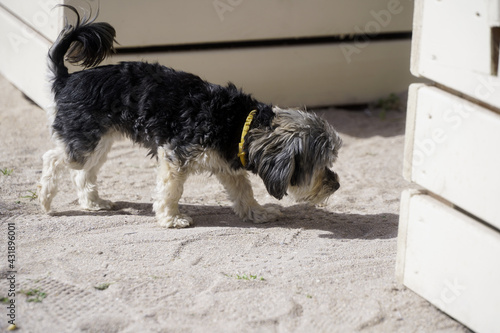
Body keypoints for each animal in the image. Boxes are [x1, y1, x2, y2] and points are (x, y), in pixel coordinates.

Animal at [39, 6, 344, 227]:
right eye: (320, 163)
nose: (337, 184)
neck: (239, 124)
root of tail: (67, 79)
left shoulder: (227, 166)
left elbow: (244, 191)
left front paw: (257, 213)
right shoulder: (175, 156)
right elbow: (171, 191)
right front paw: (171, 218)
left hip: (98, 143)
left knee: (83, 173)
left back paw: (93, 203)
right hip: (83, 143)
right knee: (53, 158)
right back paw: (45, 200)